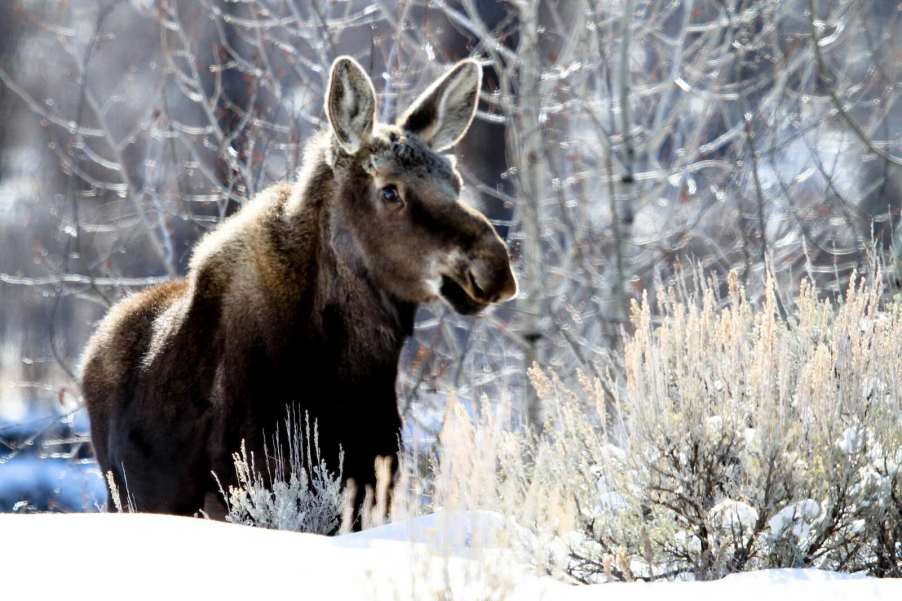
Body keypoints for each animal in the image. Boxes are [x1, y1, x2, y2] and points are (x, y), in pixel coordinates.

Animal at [79, 56, 517, 520]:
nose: (494, 266)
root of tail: (93, 348)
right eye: (389, 191)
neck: (349, 373)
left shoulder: (372, 480)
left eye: (457, 183)